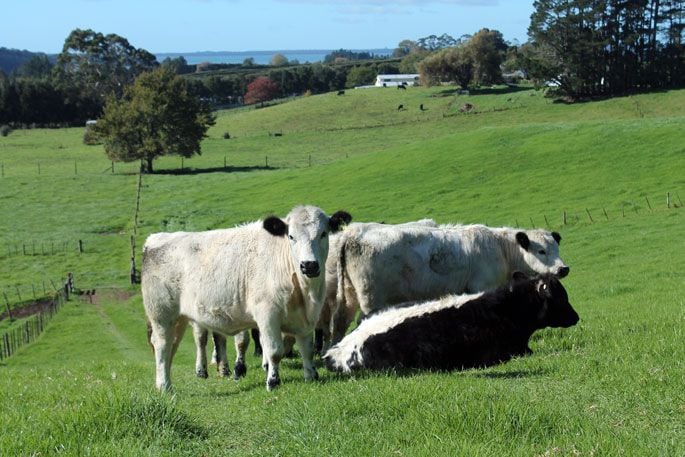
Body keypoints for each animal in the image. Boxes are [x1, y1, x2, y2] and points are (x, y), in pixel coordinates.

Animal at [142, 205, 350, 390]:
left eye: (323, 234)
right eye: (291, 236)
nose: (309, 265)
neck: (304, 293)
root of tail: (156, 238)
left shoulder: (305, 318)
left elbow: (307, 349)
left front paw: (312, 376)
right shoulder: (267, 315)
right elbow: (274, 351)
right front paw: (273, 382)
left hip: (178, 318)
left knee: (172, 347)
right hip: (161, 315)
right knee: (162, 345)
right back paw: (164, 386)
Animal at [326, 223, 568, 344]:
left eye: (557, 248)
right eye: (541, 250)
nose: (563, 268)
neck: (500, 247)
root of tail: (351, 235)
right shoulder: (481, 287)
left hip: (349, 296)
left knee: (339, 322)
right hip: (370, 297)